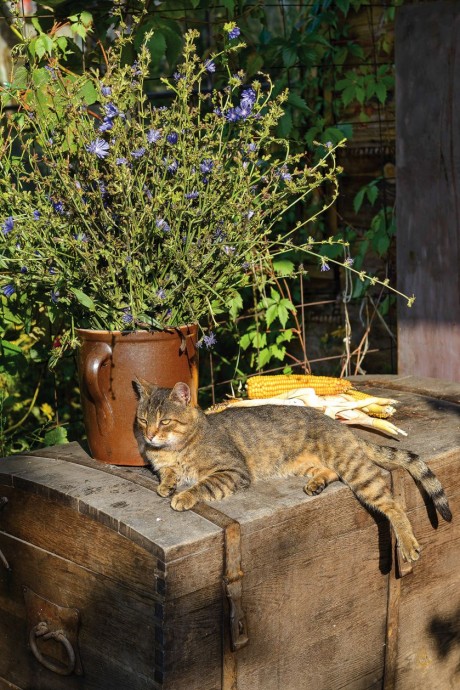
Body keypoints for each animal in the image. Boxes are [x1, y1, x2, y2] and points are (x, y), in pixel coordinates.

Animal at [134, 376, 452, 560]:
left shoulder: (233, 471)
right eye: (142, 420)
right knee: (330, 472)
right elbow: (168, 473)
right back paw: (316, 484)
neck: (175, 447)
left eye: (165, 421)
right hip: (307, 463)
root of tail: (341, 425)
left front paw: (183, 496)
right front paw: (167, 484)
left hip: (356, 471)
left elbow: (202, 484)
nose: (149, 435)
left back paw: (409, 544)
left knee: (392, 504)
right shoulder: (165, 464)